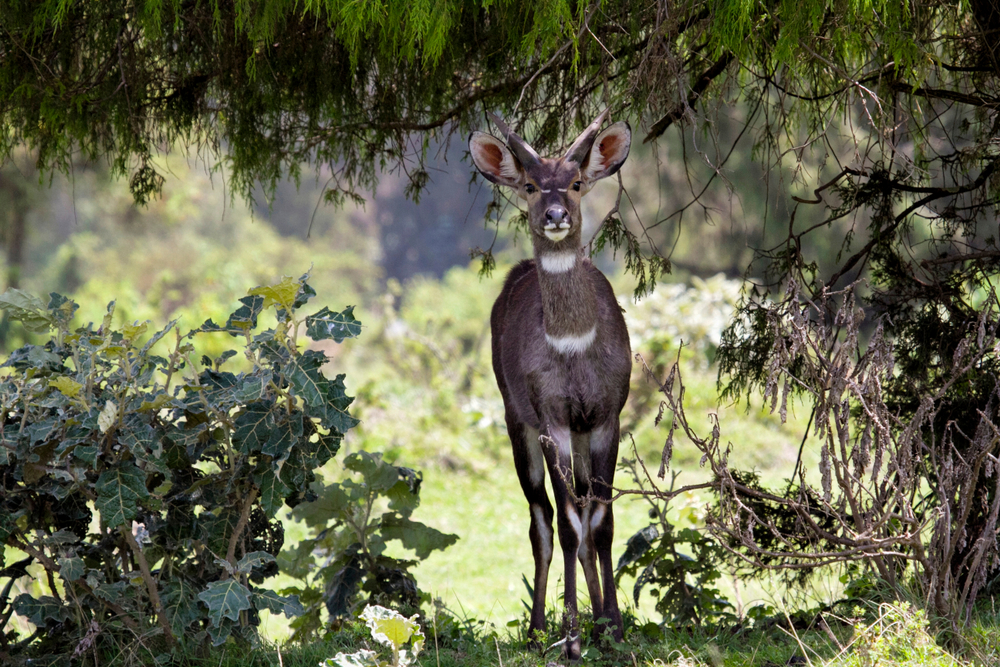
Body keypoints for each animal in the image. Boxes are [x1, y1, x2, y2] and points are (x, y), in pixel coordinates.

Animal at [470, 112, 632, 660]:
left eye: (577, 181)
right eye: (530, 184)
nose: (556, 214)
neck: (574, 345)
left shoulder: (605, 418)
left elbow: (600, 524)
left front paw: (612, 628)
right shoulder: (551, 421)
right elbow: (566, 526)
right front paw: (573, 639)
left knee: (581, 510)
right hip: (514, 421)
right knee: (542, 518)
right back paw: (539, 628)